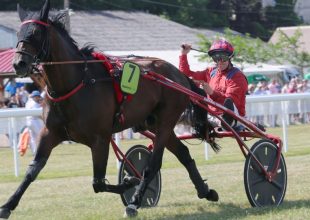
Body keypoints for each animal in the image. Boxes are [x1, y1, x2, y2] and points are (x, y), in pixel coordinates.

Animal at [0, 0, 219, 217]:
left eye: (35, 33)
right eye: (19, 33)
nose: (19, 63)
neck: (75, 84)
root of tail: (179, 75)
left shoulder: (100, 139)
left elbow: (98, 183)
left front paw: (130, 181)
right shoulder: (50, 133)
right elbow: (32, 170)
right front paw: (7, 205)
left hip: (166, 120)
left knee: (153, 164)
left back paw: (135, 202)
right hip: (154, 123)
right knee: (183, 152)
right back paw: (205, 191)